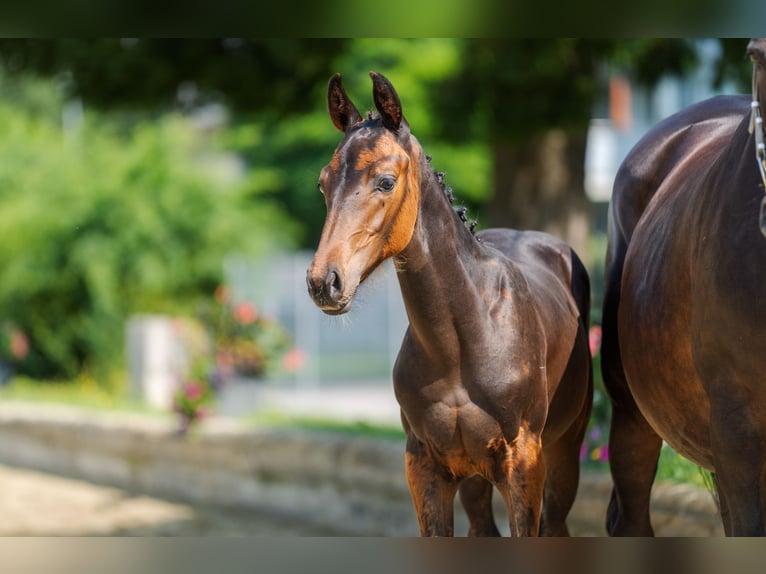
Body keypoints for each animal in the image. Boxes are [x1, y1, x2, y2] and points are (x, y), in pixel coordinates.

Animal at [306, 73, 592, 540]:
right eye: (323, 182)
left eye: (386, 181)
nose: (324, 282)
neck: (463, 338)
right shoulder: (425, 467)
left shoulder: (524, 464)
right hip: (475, 478)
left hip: (565, 449)